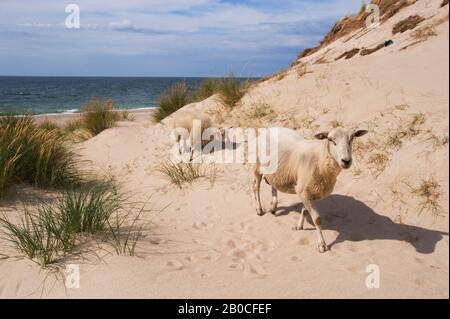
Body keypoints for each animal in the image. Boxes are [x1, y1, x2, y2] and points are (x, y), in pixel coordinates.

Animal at [251, 126, 368, 254]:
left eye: (352, 138)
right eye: (331, 139)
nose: (346, 161)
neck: (320, 160)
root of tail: (271, 128)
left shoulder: (313, 193)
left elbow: (304, 210)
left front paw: (299, 226)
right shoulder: (304, 192)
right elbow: (317, 219)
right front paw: (322, 244)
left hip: (276, 172)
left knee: (274, 184)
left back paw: (273, 207)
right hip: (257, 166)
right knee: (255, 187)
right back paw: (259, 209)